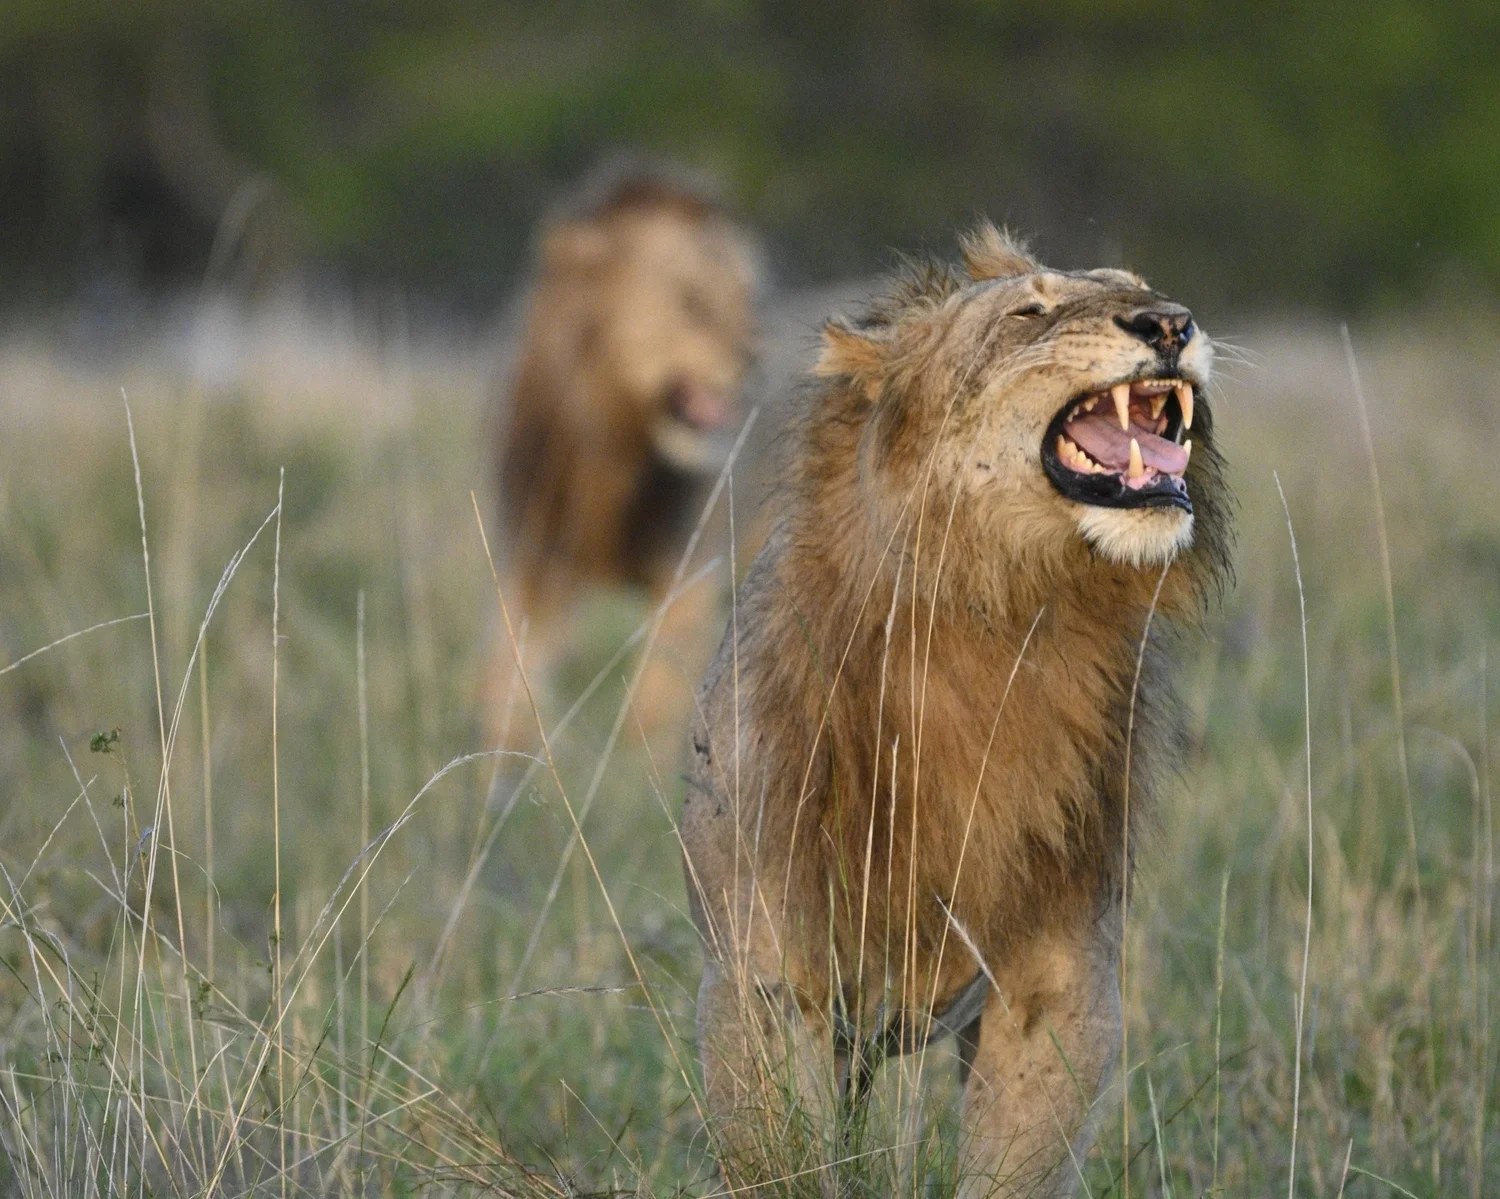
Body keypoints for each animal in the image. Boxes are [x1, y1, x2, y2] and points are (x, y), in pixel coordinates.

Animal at [489, 160, 759, 743]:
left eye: (745, 301)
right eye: (690, 301)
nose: (753, 357)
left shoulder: (689, 578)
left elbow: (655, 702)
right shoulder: (535, 564)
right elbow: (506, 675)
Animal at [680, 224, 1232, 1197]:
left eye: (1143, 287)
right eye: (1027, 313)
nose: (1171, 322)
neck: (999, 615)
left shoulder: (1056, 988)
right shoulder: (765, 985)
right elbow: (781, 1155)